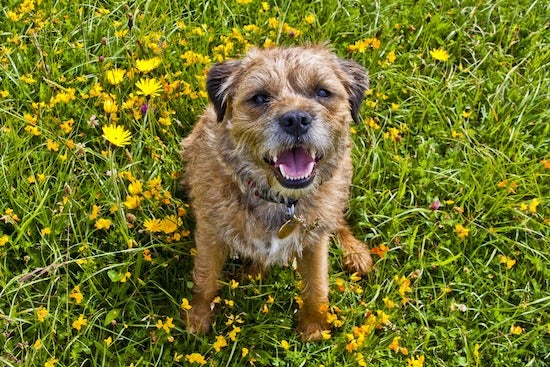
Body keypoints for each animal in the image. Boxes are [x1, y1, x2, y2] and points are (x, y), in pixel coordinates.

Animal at [181, 45, 376, 342]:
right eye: (260, 97)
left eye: (322, 92)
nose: (295, 119)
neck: (280, 202)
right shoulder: (210, 232)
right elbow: (205, 277)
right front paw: (197, 319)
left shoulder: (315, 240)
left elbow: (318, 285)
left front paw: (314, 326)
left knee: (336, 219)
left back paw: (355, 252)